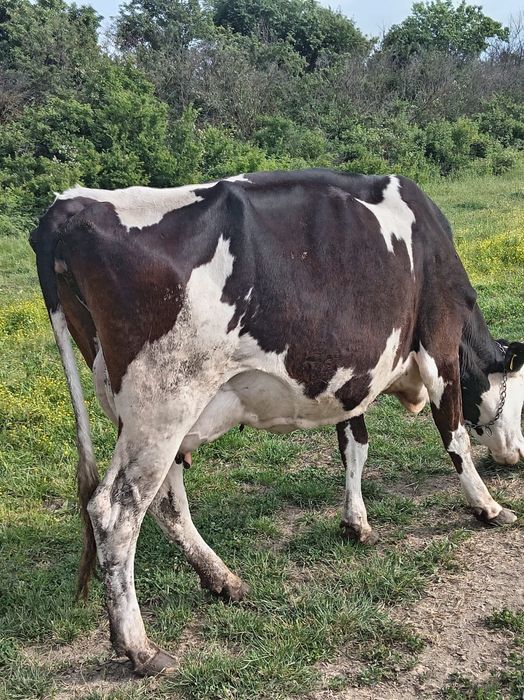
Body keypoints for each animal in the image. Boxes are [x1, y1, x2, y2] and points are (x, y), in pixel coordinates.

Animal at [30, 169, 524, 676]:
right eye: (519, 396)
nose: (516, 456)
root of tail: (71, 204)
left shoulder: (353, 376)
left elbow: (355, 444)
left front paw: (356, 523)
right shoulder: (438, 339)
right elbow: (455, 435)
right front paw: (488, 506)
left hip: (144, 415)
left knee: (166, 502)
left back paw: (224, 580)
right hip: (163, 402)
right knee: (115, 512)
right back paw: (139, 647)